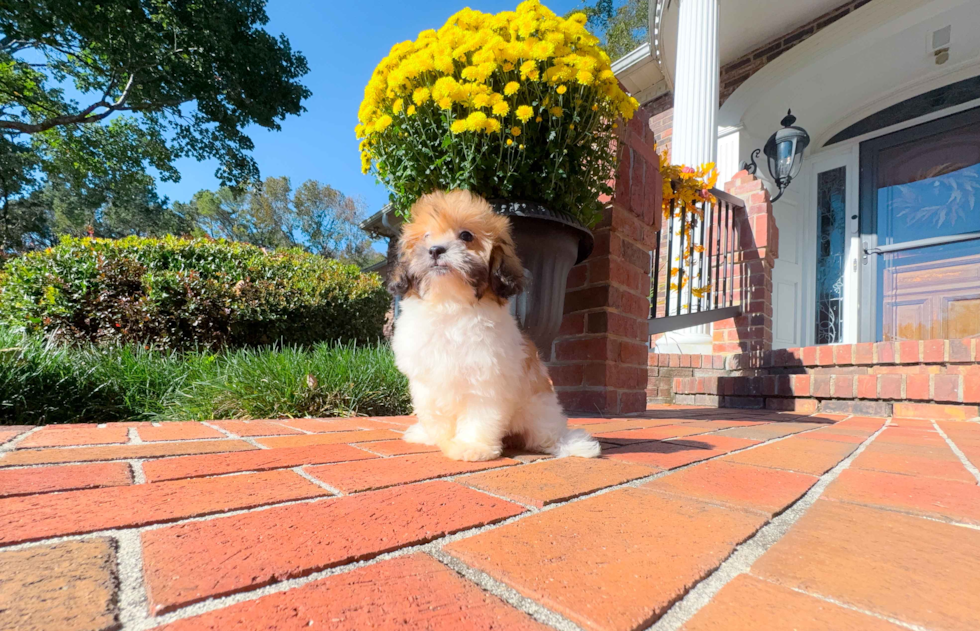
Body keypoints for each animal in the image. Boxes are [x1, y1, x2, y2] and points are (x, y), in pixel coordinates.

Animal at [386, 190, 600, 462]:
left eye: (466, 235)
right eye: (426, 236)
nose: (435, 250)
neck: (449, 302)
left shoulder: (485, 377)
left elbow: (479, 414)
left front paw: (471, 446)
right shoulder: (427, 381)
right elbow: (435, 413)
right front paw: (433, 436)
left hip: (539, 410)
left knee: (546, 434)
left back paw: (568, 443)